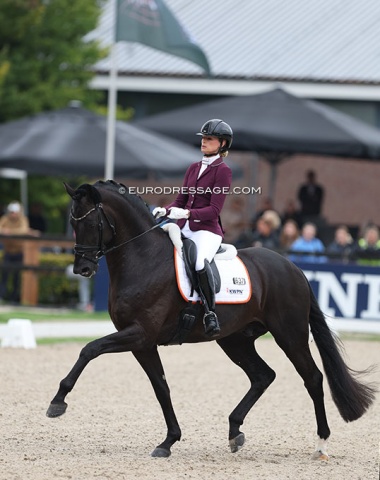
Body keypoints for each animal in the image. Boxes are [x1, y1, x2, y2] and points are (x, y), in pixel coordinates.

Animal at [46, 181, 376, 462]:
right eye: (73, 224)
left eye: (91, 223)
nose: (82, 269)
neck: (143, 259)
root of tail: (292, 267)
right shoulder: (143, 343)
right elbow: (161, 388)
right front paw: (168, 441)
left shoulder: (139, 334)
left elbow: (89, 349)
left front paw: (58, 402)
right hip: (235, 339)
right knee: (262, 376)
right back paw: (234, 431)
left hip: (289, 335)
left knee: (313, 378)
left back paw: (321, 444)